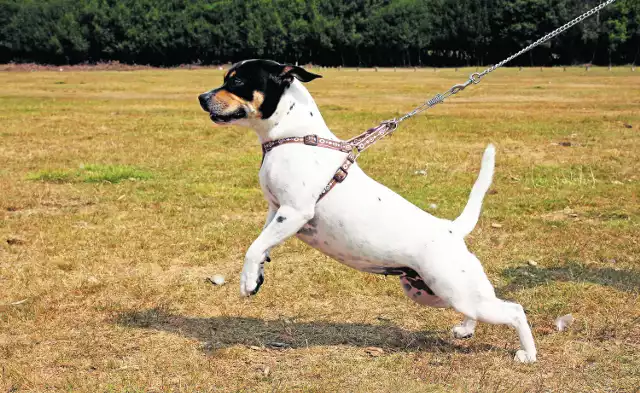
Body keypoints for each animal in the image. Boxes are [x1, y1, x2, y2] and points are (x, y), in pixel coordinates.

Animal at [198, 58, 536, 362]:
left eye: (238, 81)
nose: (201, 97)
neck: (294, 137)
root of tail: (452, 228)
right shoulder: (276, 210)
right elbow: (262, 242)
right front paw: (257, 274)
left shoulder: (295, 211)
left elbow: (253, 247)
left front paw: (246, 281)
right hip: (434, 292)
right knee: (480, 308)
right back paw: (465, 330)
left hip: (455, 288)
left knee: (515, 310)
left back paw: (528, 355)